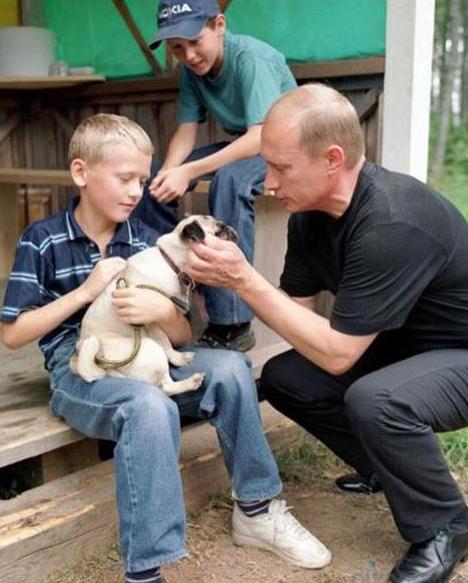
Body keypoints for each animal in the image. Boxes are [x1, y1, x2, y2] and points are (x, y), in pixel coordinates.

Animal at [70, 215, 238, 396]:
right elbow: (166, 343)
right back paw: (190, 380)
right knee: (166, 387)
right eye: (219, 232)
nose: (232, 230)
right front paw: (177, 358)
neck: (171, 264)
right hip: (151, 349)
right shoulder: (153, 322)